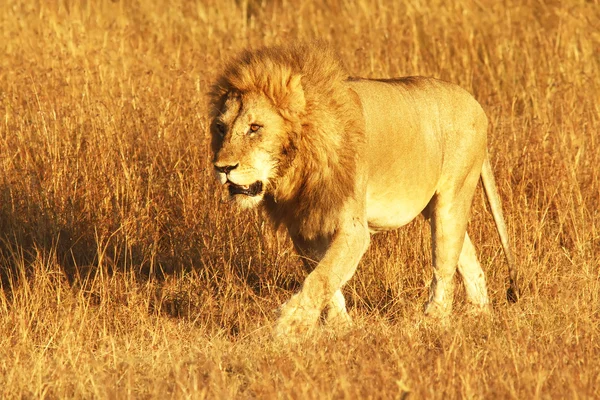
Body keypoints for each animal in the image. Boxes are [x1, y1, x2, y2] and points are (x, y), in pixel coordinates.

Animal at [209, 43, 516, 338]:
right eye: (221, 128)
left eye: (254, 127)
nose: (222, 167)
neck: (298, 166)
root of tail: (475, 103)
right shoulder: (304, 227)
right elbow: (325, 276)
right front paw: (340, 326)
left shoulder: (353, 228)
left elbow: (322, 277)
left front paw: (290, 327)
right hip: (436, 209)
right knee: (468, 262)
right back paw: (479, 317)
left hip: (452, 198)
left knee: (443, 268)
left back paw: (431, 323)